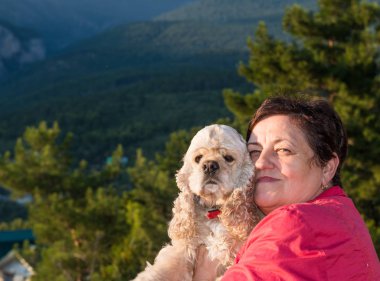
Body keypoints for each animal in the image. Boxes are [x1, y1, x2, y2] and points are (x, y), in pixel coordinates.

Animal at [132, 124, 260, 280]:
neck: (214, 211)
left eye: (228, 158)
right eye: (198, 158)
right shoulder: (184, 248)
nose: (210, 165)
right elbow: (164, 268)